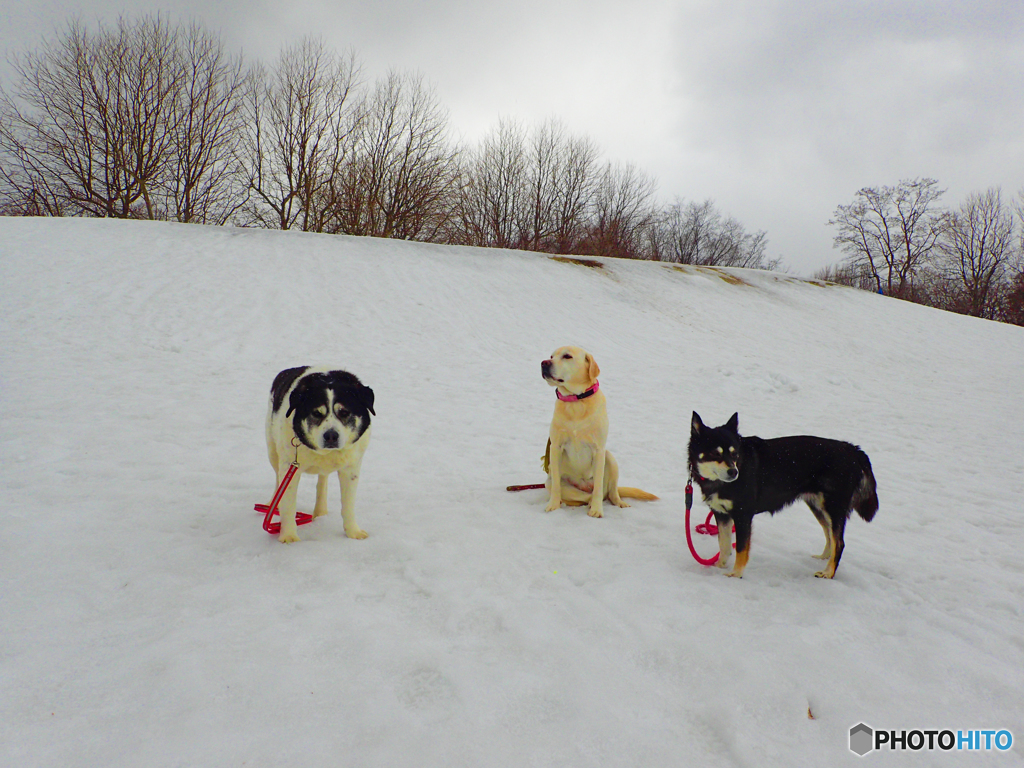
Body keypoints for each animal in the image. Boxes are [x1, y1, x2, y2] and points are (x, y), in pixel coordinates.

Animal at [266, 368, 374, 544]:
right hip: (272, 449)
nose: (331, 436)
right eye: (316, 413)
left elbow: (348, 505)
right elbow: (288, 504)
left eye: (344, 412)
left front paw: (353, 532)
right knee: (278, 480)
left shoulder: (351, 468)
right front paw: (289, 537)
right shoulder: (290, 466)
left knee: (323, 480)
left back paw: (320, 511)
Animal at [544, 348, 655, 518]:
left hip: (610, 458)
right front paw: (553, 506)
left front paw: (597, 510)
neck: (576, 401)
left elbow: (598, 488)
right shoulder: (556, 447)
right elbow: (556, 485)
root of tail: (584, 485)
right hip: (550, 482)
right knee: (581, 496)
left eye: (567, 356)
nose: (544, 363)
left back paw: (616, 503)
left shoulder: (598, 450)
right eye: (551, 356)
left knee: (609, 492)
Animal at [684, 415, 876, 577]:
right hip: (819, 506)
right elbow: (723, 545)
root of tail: (852, 450)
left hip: (834, 507)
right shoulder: (721, 514)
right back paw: (824, 558)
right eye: (715, 453)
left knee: (840, 542)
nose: (734, 472)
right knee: (830, 534)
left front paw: (736, 574)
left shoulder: (743, 516)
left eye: (734, 453)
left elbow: (740, 549)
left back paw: (828, 573)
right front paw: (719, 567)